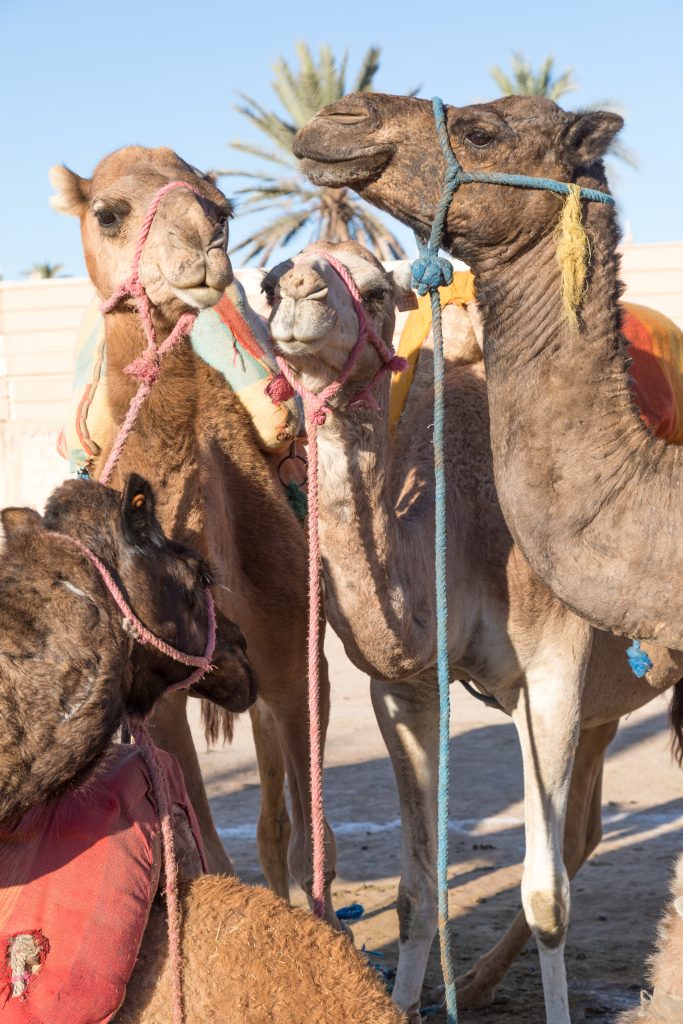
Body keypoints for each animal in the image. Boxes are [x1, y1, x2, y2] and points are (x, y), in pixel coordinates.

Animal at [49, 147, 339, 924]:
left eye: (221, 209)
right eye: (107, 212)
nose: (204, 253)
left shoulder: (298, 661)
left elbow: (313, 843)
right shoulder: (156, 696)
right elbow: (205, 847)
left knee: (278, 818)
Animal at [261, 239, 683, 1024]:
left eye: (373, 291)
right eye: (270, 285)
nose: (301, 289)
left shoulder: (551, 673)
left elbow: (548, 898)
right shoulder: (405, 688)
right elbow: (417, 891)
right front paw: (403, 1002)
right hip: (605, 702)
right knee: (585, 828)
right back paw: (482, 982)